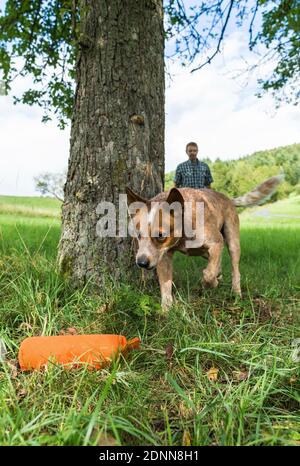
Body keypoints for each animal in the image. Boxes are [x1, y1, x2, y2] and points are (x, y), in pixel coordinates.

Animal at [126, 177, 284, 312]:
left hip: (232, 240)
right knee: (214, 261)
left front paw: (212, 283)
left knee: (234, 269)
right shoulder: (164, 255)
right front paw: (166, 310)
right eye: (138, 234)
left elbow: (208, 274)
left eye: (160, 236)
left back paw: (236, 292)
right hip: (203, 252)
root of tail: (228, 198)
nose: (141, 262)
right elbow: (165, 284)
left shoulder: (216, 242)